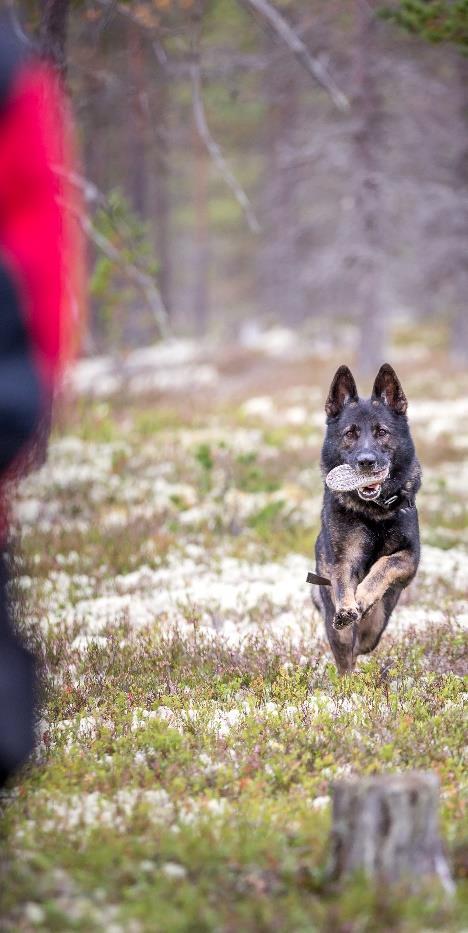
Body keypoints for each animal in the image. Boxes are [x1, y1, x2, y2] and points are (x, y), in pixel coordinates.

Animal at [314, 360, 420, 672]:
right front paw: (350, 605)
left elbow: (385, 564)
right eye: (350, 433)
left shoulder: (410, 557)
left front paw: (362, 596)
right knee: (346, 657)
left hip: (379, 623)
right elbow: (344, 583)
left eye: (381, 432)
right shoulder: (342, 560)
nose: (366, 462)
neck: (374, 513)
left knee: (366, 638)